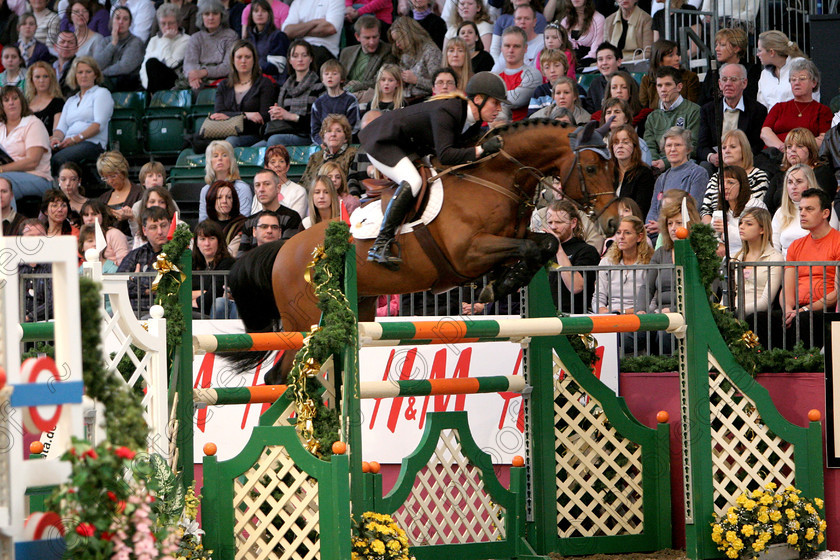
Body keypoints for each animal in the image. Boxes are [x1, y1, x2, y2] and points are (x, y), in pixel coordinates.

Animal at [230, 120, 616, 382]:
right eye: (591, 168)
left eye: (611, 166)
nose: (613, 223)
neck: (494, 180)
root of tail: (285, 248)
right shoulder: (469, 253)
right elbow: (529, 248)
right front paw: (500, 285)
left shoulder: (507, 244)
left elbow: (544, 244)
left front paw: (502, 283)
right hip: (306, 322)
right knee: (279, 375)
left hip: (359, 309)